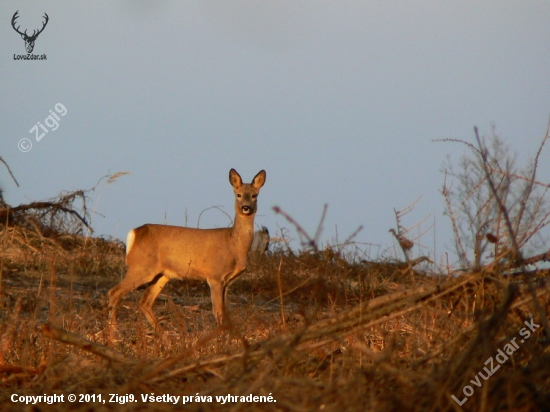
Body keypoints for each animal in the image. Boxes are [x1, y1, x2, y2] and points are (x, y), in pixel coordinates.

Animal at [108, 167, 268, 328]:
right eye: (238, 194)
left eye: (254, 195)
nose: (246, 207)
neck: (234, 245)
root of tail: (135, 232)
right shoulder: (215, 276)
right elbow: (218, 311)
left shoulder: (228, 281)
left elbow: (224, 311)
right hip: (141, 267)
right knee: (114, 292)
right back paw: (113, 332)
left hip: (162, 274)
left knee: (144, 302)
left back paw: (162, 334)